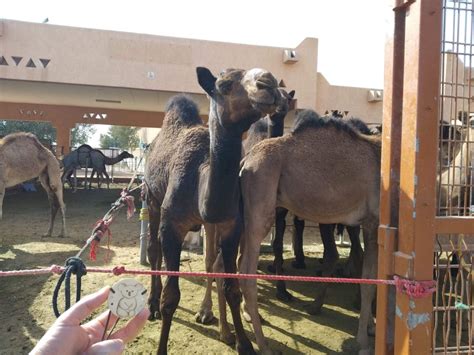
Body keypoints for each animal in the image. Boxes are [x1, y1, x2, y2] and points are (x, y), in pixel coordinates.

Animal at [144, 67, 284, 355]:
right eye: (224, 85)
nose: (269, 83)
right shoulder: (171, 225)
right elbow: (171, 297)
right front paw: (162, 344)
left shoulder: (231, 226)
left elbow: (232, 287)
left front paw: (244, 344)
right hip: (151, 198)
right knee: (153, 249)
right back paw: (151, 304)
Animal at [239, 110, 380, 354]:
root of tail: (246, 161)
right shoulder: (373, 222)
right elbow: (369, 280)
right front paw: (363, 343)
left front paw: (370, 328)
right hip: (260, 206)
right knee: (248, 274)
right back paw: (264, 345)